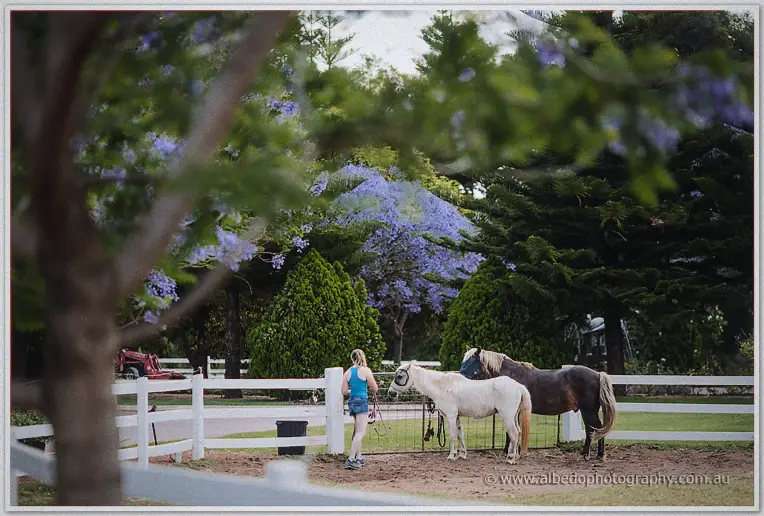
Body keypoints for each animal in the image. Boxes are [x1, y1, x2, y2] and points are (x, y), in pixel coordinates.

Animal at [388, 362, 532, 464]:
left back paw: (510, 458)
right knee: (519, 432)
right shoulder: (456, 416)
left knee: (513, 434)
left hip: (507, 417)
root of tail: (519, 386)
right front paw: (462, 454)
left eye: (399, 376)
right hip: (514, 416)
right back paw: (516, 456)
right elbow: (459, 434)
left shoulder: (451, 416)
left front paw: (452, 456)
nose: (390, 393)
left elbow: (452, 435)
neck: (443, 387)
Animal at [459, 347, 616, 460]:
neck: (511, 376)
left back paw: (589, 454)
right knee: (596, 429)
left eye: (471, 361)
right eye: (463, 361)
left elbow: (510, 432)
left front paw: (508, 452)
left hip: (588, 411)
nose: (460, 375)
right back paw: (597, 455)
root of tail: (598, 374)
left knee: (593, 429)